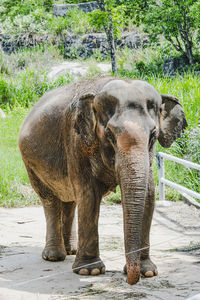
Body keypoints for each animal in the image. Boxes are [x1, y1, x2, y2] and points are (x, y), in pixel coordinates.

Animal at [18, 76, 188, 284]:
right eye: (109, 135)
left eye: (153, 135)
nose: (129, 278)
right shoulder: (77, 141)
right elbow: (89, 195)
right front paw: (89, 271)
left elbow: (149, 196)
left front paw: (147, 272)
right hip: (29, 162)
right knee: (50, 200)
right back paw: (54, 256)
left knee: (70, 200)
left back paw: (71, 250)